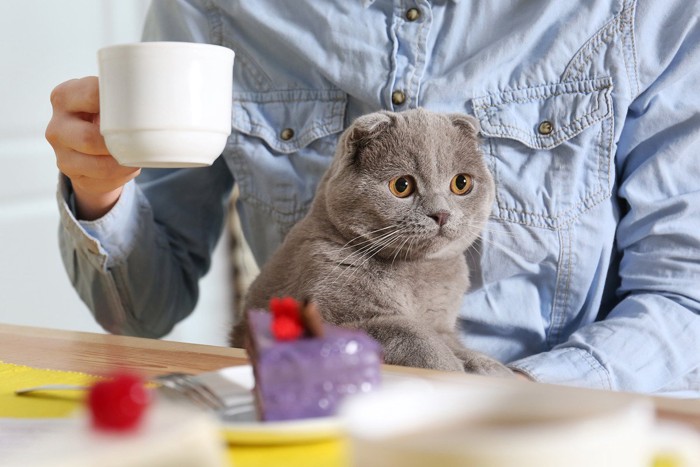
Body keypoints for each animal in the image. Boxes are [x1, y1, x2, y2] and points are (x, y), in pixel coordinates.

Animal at [232, 107, 512, 376]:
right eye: (402, 185)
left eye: (461, 183)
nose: (441, 213)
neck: (416, 273)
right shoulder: (327, 319)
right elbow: (408, 331)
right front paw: (449, 366)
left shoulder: (444, 327)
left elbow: (457, 345)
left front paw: (493, 368)